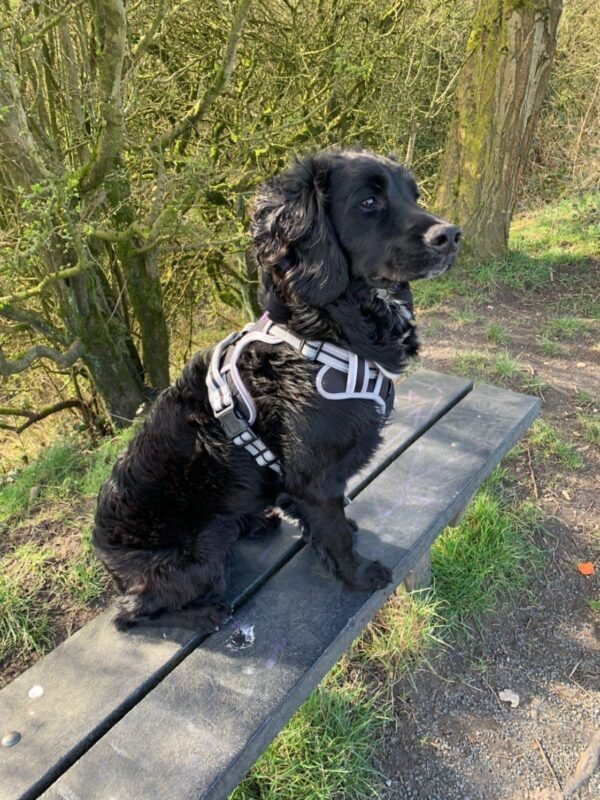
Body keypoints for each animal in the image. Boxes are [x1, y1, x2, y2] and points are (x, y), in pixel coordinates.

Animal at [94, 148, 460, 632]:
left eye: (412, 194)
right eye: (368, 201)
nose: (451, 235)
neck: (325, 332)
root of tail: (105, 558)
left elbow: (324, 522)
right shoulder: (315, 479)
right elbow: (334, 533)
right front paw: (357, 574)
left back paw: (255, 523)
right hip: (200, 551)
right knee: (133, 612)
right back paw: (205, 612)